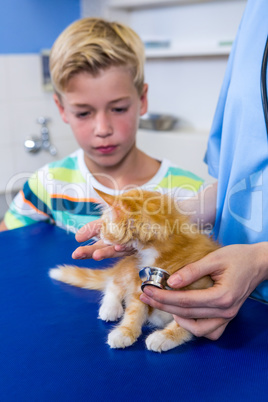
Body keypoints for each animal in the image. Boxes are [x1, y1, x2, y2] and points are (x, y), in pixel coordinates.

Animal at [49, 188, 219, 352]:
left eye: (104, 224)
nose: (99, 234)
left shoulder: (201, 299)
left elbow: (185, 323)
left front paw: (164, 337)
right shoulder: (140, 282)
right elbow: (134, 310)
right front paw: (125, 332)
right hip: (128, 268)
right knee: (113, 283)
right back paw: (110, 308)